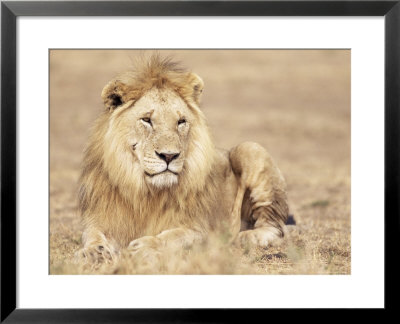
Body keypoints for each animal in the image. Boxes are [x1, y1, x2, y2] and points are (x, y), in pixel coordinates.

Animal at [78, 55, 290, 264]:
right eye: (146, 120)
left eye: (181, 122)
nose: (169, 156)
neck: (146, 194)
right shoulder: (102, 217)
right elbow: (92, 233)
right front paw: (93, 252)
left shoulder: (200, 230)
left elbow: (174, 236)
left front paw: (146, 246)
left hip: (251, 149)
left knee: (275, 227)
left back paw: (246, 236)